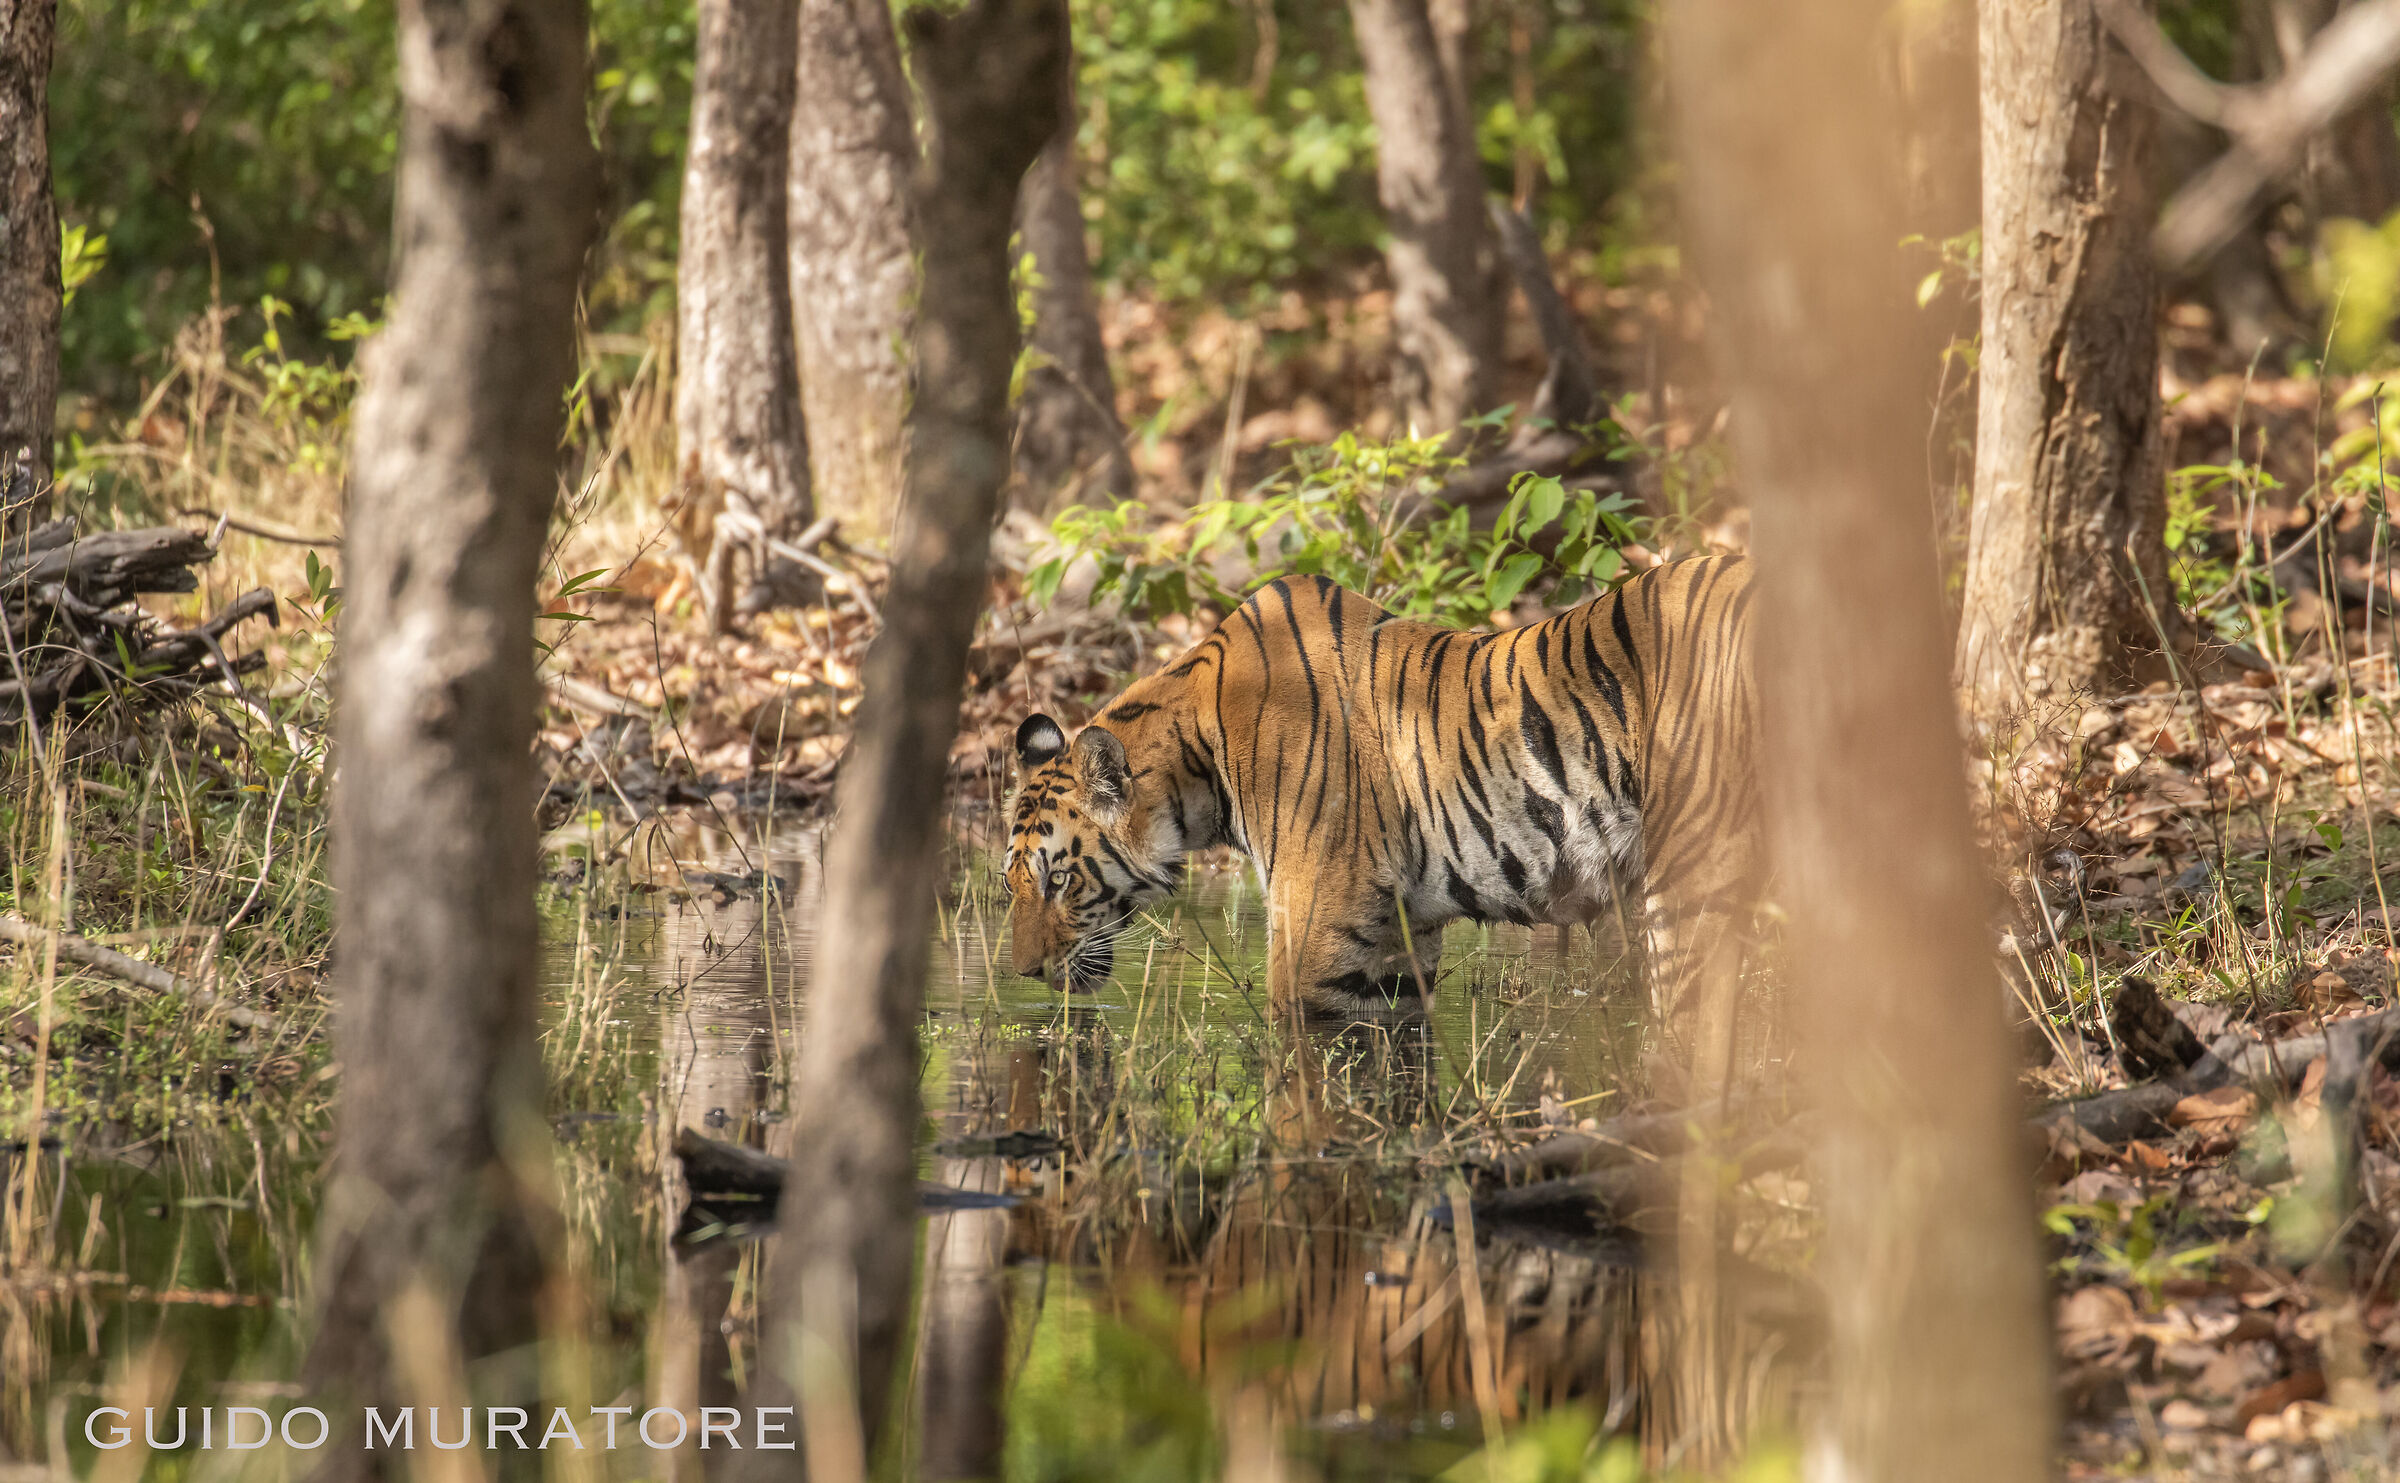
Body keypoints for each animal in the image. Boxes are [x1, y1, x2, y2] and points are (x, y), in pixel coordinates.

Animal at [1004, 555, 1759, 1017]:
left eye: (1059, 879)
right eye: (1011, 884)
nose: (1025, 973)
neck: (1200, 756)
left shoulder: (1312, 938)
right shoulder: (1399, 945)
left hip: (1693, 881)